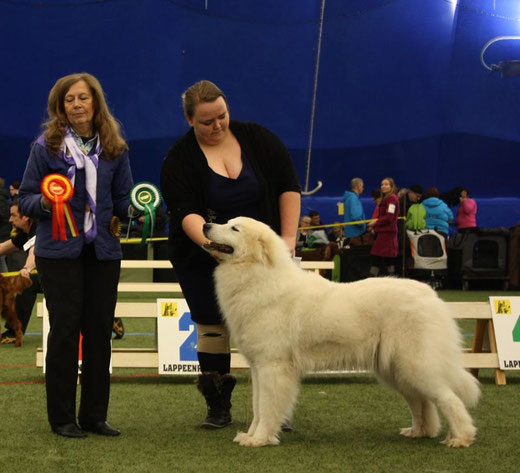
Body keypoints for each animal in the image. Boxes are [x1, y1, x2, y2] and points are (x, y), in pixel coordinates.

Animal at [202, 217, 480, 446]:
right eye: (226, 222)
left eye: (234, 228)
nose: (205, 224)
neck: (258, 275)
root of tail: (430, 293)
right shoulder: (259, 368)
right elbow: (258, 407)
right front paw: (250, 435)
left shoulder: (272, 367)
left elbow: (268, 407)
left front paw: (260, 439)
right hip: (396, 370)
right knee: (422, 402)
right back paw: (420, 431)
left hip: (414, 365)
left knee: (449, 399)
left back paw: (460, 438)